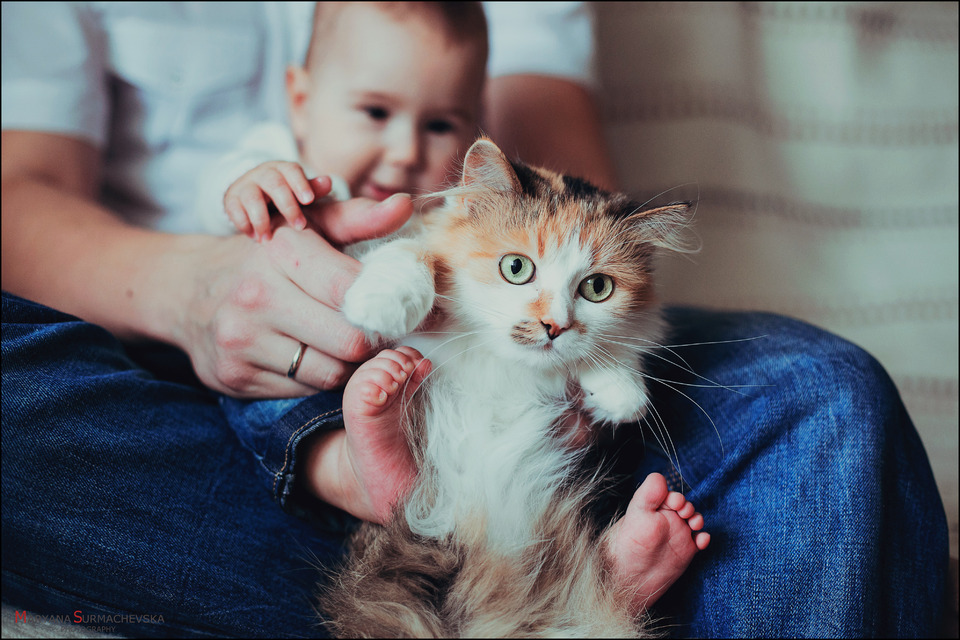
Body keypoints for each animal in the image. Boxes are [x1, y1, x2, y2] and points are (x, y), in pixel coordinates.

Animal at [320, 138, 688, 636]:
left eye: (597, 288)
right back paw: (378, 392)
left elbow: (615, 349)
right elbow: (410, 250)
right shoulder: (401, 242)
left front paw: (620, 389)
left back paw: (659, 535)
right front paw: (381, 304)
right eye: (516, 268)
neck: (505, 370)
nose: (554, 326)